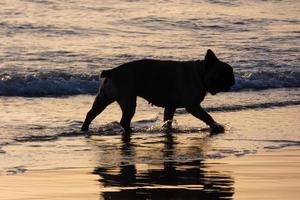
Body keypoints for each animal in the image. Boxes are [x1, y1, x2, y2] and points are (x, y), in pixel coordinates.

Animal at [81, 49, 234, 134]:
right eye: (222, 74)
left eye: (230, 72)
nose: (232, 79)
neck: (200, 73)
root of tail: (112, 72)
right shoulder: (193, 106)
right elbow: (207, 116)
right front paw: (216, 126)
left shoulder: (170, 106)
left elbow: (168, 120)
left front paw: (168, 130)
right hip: (128, 102)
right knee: (124, 120)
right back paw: (131, 131)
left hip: (103, 99)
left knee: (91, 114)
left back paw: (84, 129)